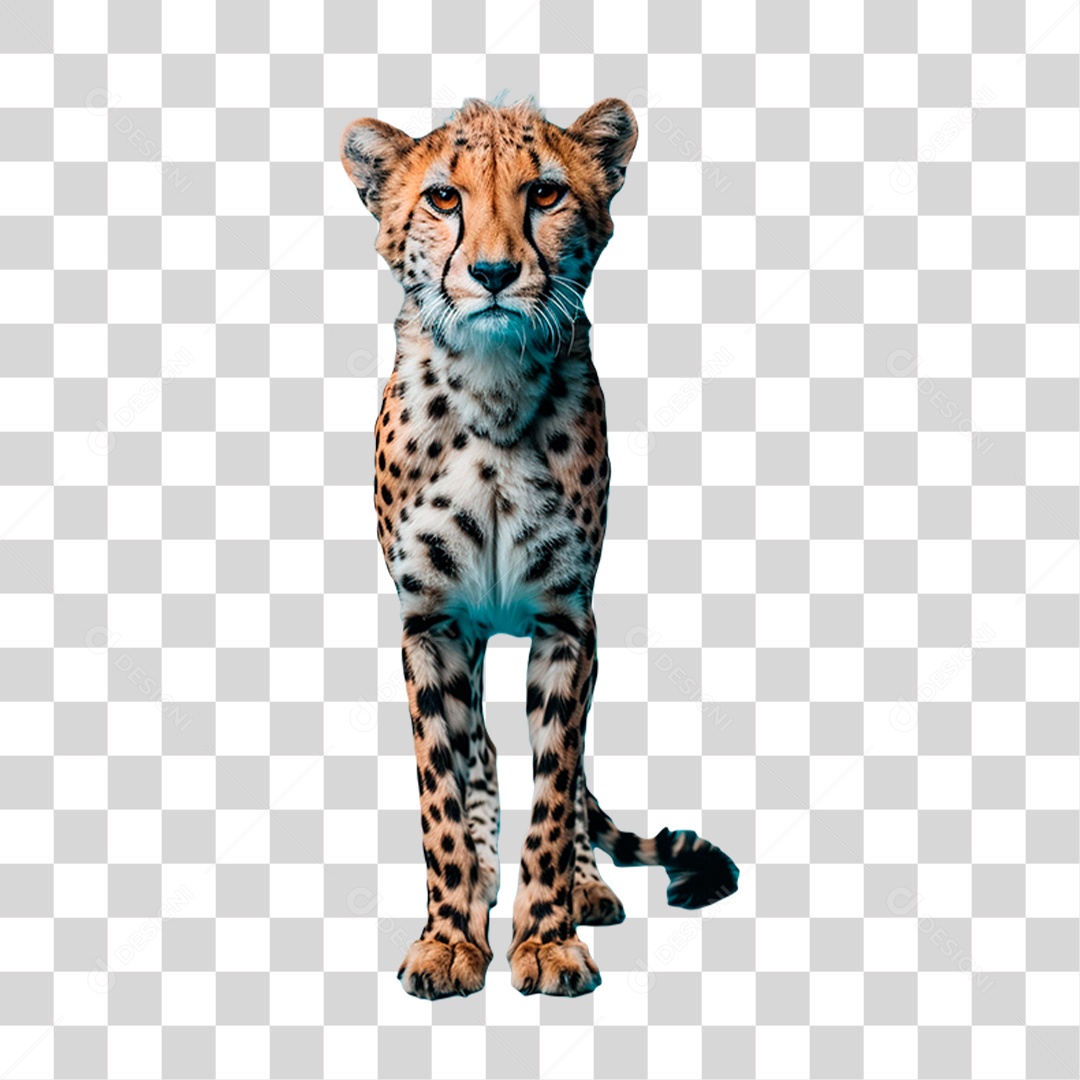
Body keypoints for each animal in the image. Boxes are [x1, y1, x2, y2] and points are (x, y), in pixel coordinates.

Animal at [340, 95, 739, 999]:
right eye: (443, 198)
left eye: (546, 194)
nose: (493, 272)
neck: (492, 389)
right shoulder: (432, 626)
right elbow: (443, 794)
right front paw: (451, 934)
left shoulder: (567, 621)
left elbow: (557, 788)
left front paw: (549, 936)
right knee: (483, 753)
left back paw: (581, 884)